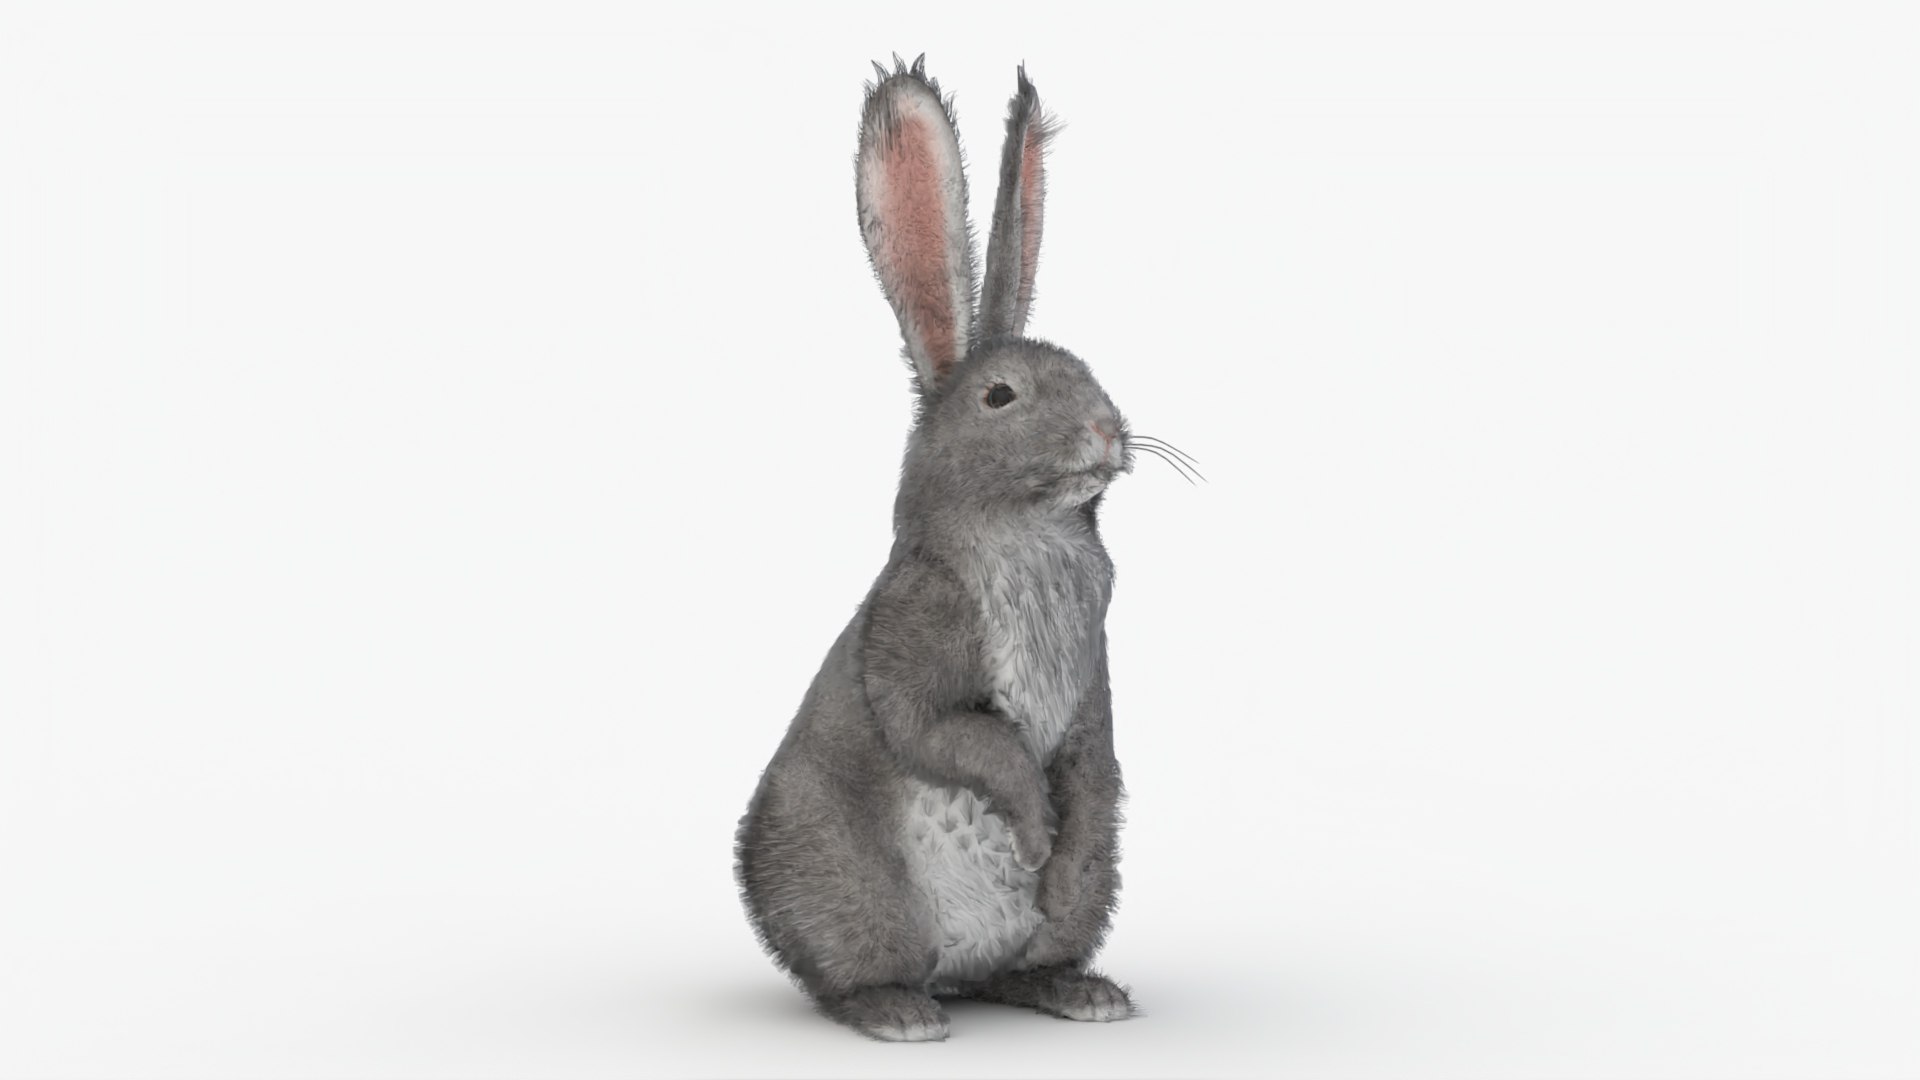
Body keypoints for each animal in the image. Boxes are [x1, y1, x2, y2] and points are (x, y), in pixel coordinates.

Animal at [735, 55, 1179, 1042]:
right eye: (1000, 396)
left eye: (1086, 370)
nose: (1107, 430)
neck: (1032, 528)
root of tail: (959, 976)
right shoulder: (921, 631)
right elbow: (953, 734)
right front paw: (1036, 828)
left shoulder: (1091, 695)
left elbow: (1085, 762)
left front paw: (1057, 844)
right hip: (848, 886)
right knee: (854, 973)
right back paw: (901, 1012)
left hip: (1077, 908)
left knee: (1033, 957)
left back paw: (1079, 992)